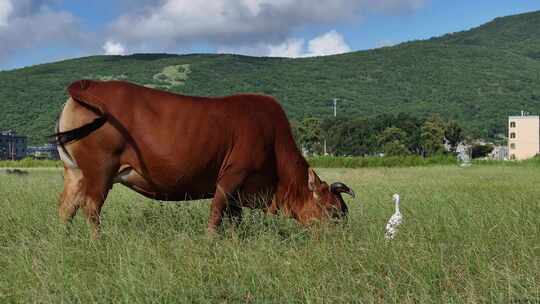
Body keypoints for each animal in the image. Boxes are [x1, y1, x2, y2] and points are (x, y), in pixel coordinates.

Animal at [54, 80, 354, 238]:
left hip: (75, 172)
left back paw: (65, 239)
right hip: (100, 170)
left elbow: (234, 218)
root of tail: (91, 84)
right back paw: (98, 240)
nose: (343, 239)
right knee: (91, 208)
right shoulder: (231, 176)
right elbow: (217, 213)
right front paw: (211, 241)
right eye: (333, 210)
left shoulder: (239, 193)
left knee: (67, 206)